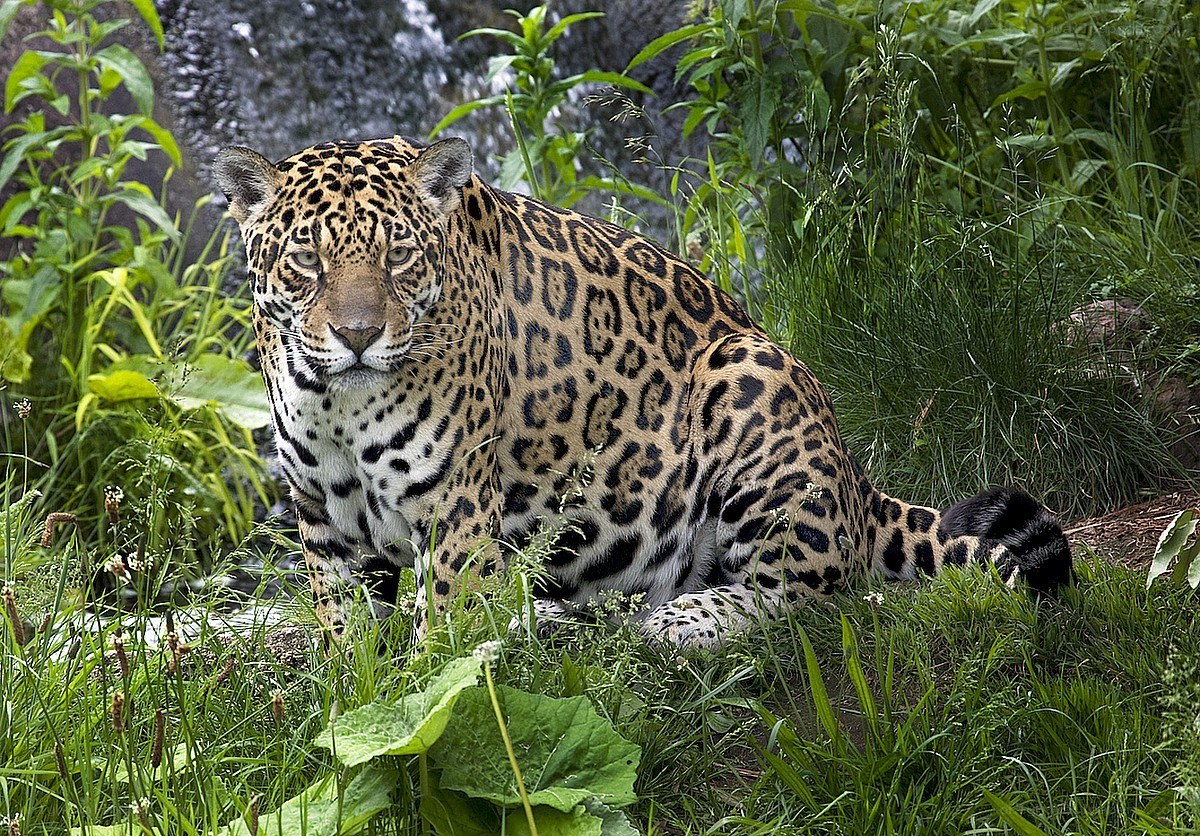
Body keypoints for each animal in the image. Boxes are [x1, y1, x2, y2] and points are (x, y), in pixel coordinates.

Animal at [213, 136, 1072, 648]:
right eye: (307, 260)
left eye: (398, 257)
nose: (357, 335)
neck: (339, 402)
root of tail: (858, 484)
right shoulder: (322, 517)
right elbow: (344, 637)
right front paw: (351, 704)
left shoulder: (454, 510)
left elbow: (443, 642)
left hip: (751, 382)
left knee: (809, 589)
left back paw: (684, 620)